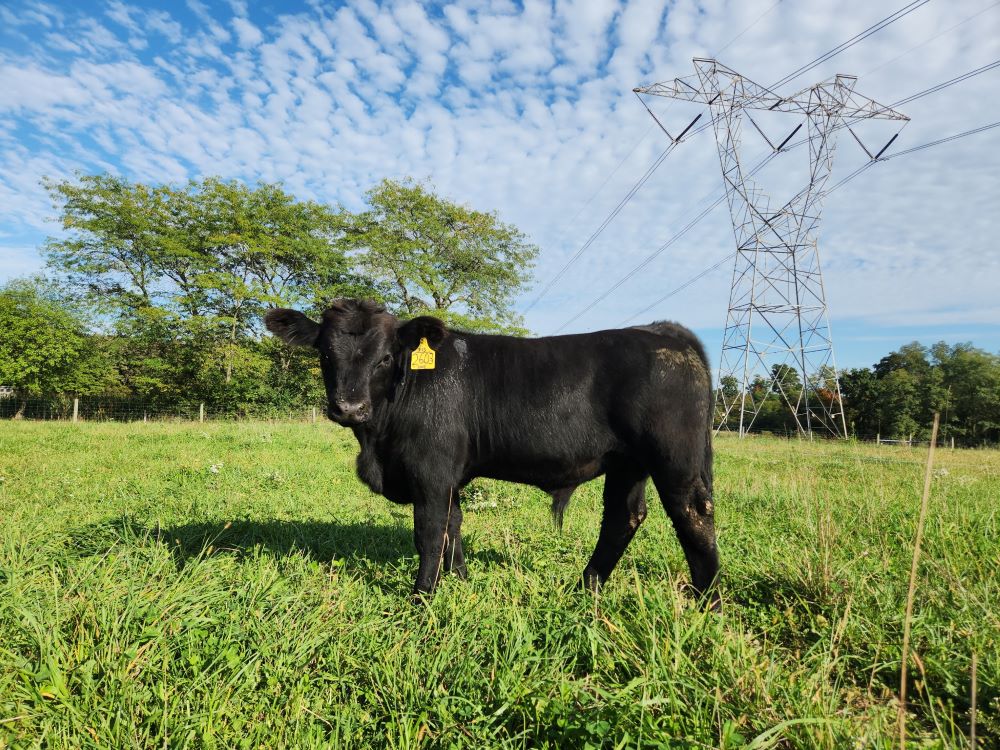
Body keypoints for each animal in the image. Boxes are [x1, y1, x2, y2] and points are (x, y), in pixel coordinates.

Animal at [265, 299, 719, 606]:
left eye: (386, 357)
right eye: (325, 353)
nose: (349, 407)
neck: (377, 442)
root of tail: (661, 330)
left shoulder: (431, 472)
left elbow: (429, 532)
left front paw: (421, 597)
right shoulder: (449, 474)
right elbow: (454, 527)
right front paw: (461, 582)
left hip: (674, 459)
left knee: (695, 516)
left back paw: (706, 602)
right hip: (627, 464)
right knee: (623, 518)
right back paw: (585, 588)